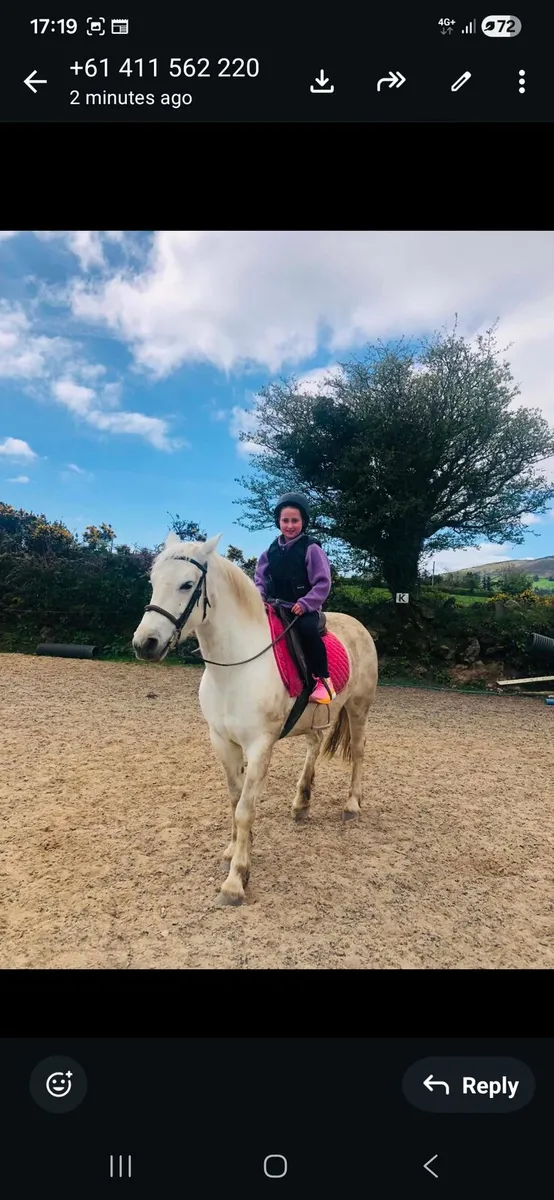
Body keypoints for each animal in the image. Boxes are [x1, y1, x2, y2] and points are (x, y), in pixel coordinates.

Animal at [132, 531, 378, 906]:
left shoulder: (260, 746)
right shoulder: (222, 742)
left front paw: (236, 881)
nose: (145, 643)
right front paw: (233, 851)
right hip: (312, 718)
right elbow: (234, 801)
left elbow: (245, 809)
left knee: (360, 752)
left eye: (187, 584)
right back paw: (302, 802)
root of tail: (358, 626)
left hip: (358, 707)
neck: (237, 667)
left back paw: (352, 805)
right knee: (315, 744)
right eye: (153, 581)